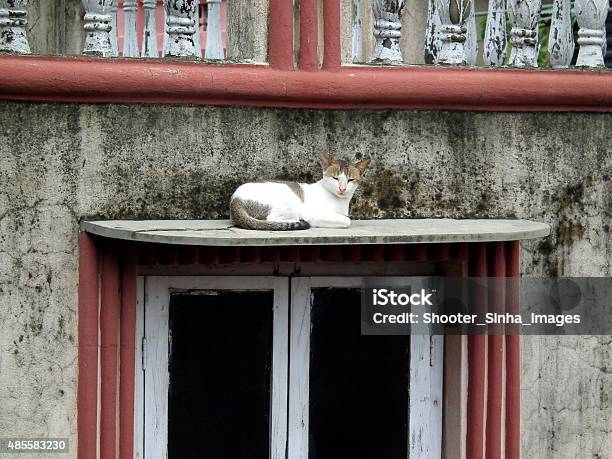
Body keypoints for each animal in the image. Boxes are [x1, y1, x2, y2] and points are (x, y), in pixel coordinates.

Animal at [228, 155, 368, 232]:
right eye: (335, 178)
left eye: (350, 180)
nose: (342, 188)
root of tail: (235, 199)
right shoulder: (314, 214)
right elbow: (347, 220)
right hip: (290, 202)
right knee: (271, 220)